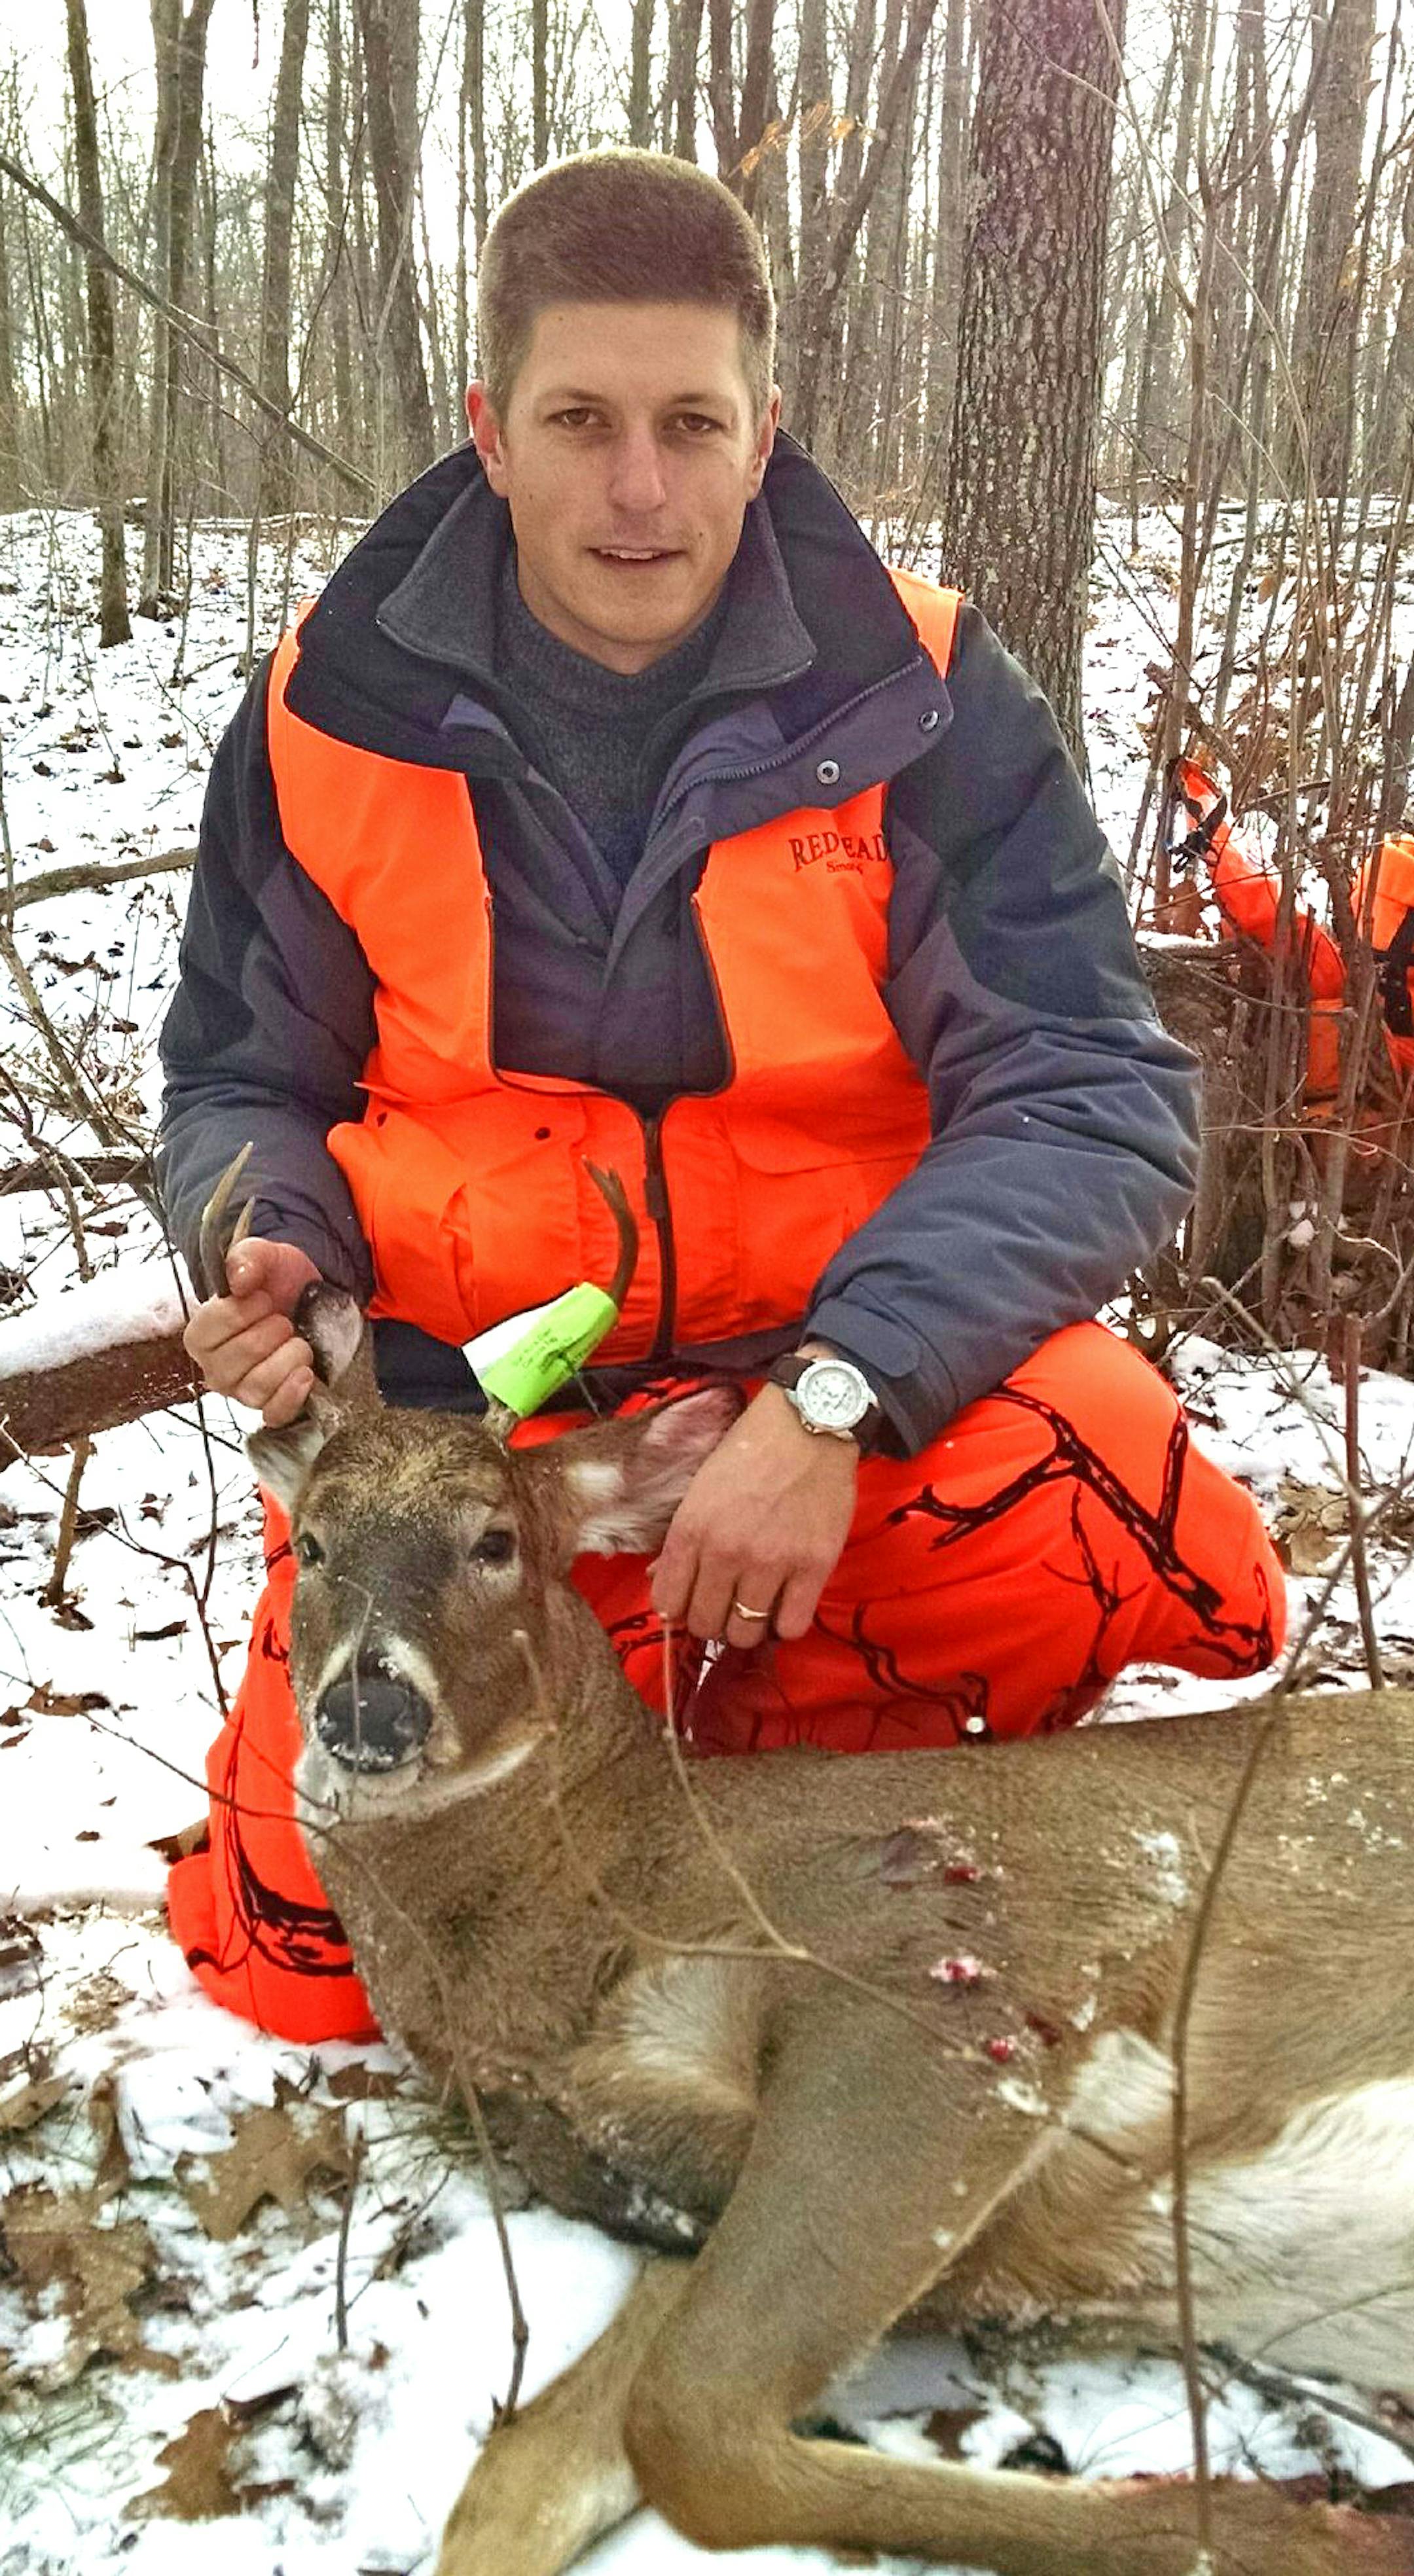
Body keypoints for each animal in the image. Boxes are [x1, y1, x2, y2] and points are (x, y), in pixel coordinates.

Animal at [200, 1162, 1414, 2576]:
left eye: (495, 1540)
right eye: (318, 1543)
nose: (369, 1710)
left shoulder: (967, 1965)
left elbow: (696, 2434)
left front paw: (1297, 2529)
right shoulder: (677, 2193)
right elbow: (518, 2481)